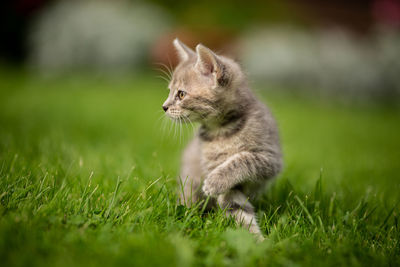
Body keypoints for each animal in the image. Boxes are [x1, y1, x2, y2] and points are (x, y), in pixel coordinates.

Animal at [161, 38, 282, 239]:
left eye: (181, 94)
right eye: (170, 91)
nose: (163, 107)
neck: (222, 131)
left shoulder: (269, 158)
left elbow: (243, 160)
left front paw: (215, 181)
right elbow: (237, 209)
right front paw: (254, 240)